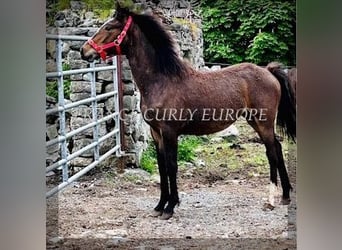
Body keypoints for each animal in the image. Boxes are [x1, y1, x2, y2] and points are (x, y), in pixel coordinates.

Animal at [81, 3, 296, 219]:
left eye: (109, 27)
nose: (84, 51)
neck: (161, 81)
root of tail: (268, 71)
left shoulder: (170, 132)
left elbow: (171, 166)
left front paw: (170, 207)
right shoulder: (156, 133)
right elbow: (162, 168)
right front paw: (160, 205)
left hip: (263, 122)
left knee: (272, 153)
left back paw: (270, 200)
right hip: (256, 121)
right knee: (278, 148)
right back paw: (286, 196)